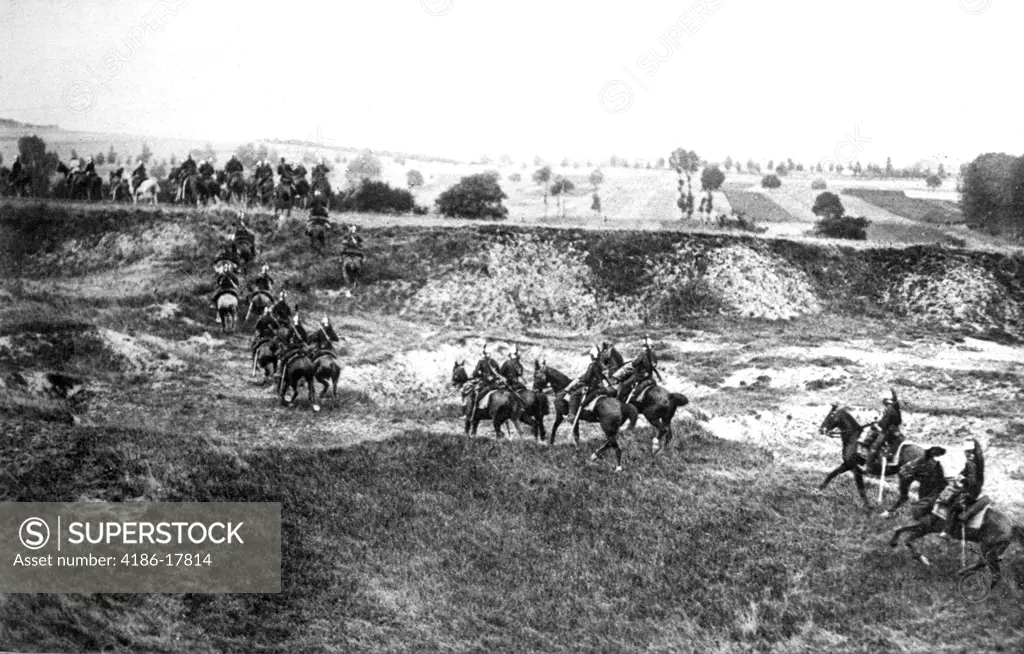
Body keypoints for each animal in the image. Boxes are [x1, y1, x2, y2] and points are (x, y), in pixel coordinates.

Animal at [884, 448, 1024, 581]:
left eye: (920, 461)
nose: (902, 469)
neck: (933, 496)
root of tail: (1012, 527)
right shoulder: (923, 526)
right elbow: (900, 530)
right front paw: (893, 543)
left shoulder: (926, 528)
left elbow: (908, 540)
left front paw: (923, 559)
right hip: (991, 550)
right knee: (984, 565)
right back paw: (962, 572)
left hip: (989, 549)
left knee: (993, 571)